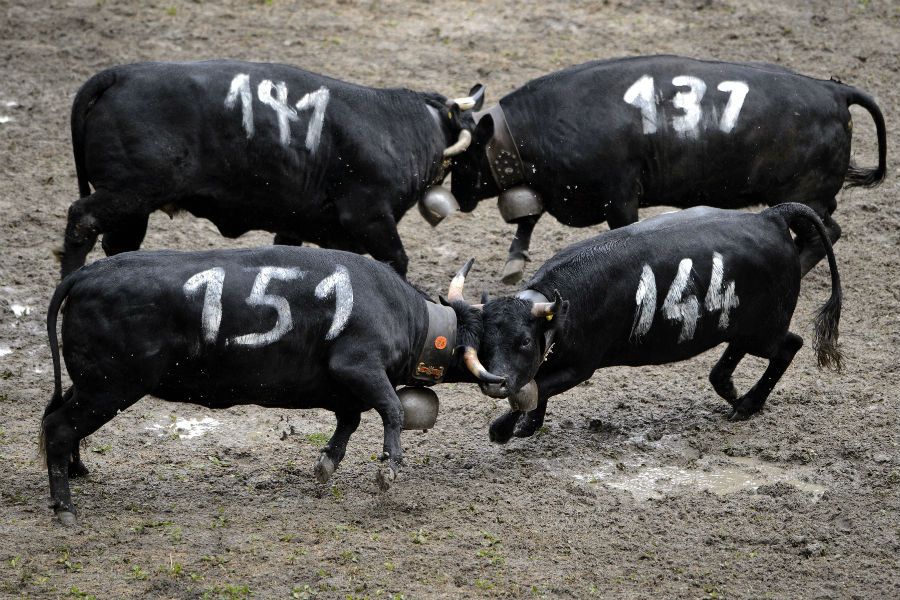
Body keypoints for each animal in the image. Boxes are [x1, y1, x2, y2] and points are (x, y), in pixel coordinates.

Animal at [42, 247, 501, 525]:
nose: (511, 385)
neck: (404, 313)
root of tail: (87, 273)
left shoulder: (344, 388)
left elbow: (349, 421)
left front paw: (326, 466)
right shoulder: (358, 366)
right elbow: (392, 408)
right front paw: (388, 468)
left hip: (91, 385)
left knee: (53, 417)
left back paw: (77, 471)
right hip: (110, 387)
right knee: (59, 426)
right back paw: (64, 508)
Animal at [58, 60, 485, 278]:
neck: (402, 128)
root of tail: (122, 74)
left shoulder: (300, 225)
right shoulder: (369, 218)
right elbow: (397, 261)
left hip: (133, 207)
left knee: (115, 244)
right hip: (129, 194)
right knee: (81, 220)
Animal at [449, 55, 886, 284]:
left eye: (464, 157)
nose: (456, 196)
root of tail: (834, 90)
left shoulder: (619, 198)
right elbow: (528, 217)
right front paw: (513, 263)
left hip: (803, 195)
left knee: (826, 232)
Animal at [464, 203, 843, 444]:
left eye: (525, 341)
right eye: (485, 342)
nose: (494, 382)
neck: (565, 304)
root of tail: (771, 216)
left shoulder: (580, 367)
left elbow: (534, 387)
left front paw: (502, 429)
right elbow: (532, 386)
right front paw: (526, 426)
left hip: (765, 331)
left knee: (790, 345)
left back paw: (748, 404)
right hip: (744, 328)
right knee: (728, 363)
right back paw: (735, 395)